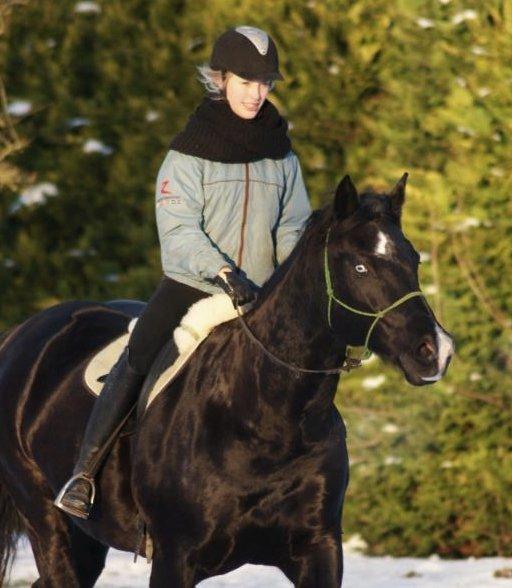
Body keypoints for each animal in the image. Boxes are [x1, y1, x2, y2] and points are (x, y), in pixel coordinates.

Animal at [0, 176, 450, 588]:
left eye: (413, 260)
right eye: (359, 266)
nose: (436, 351)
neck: (267, 421)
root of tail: (24, 334)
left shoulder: (318, 549)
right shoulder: (175, 559)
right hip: (50, 525)